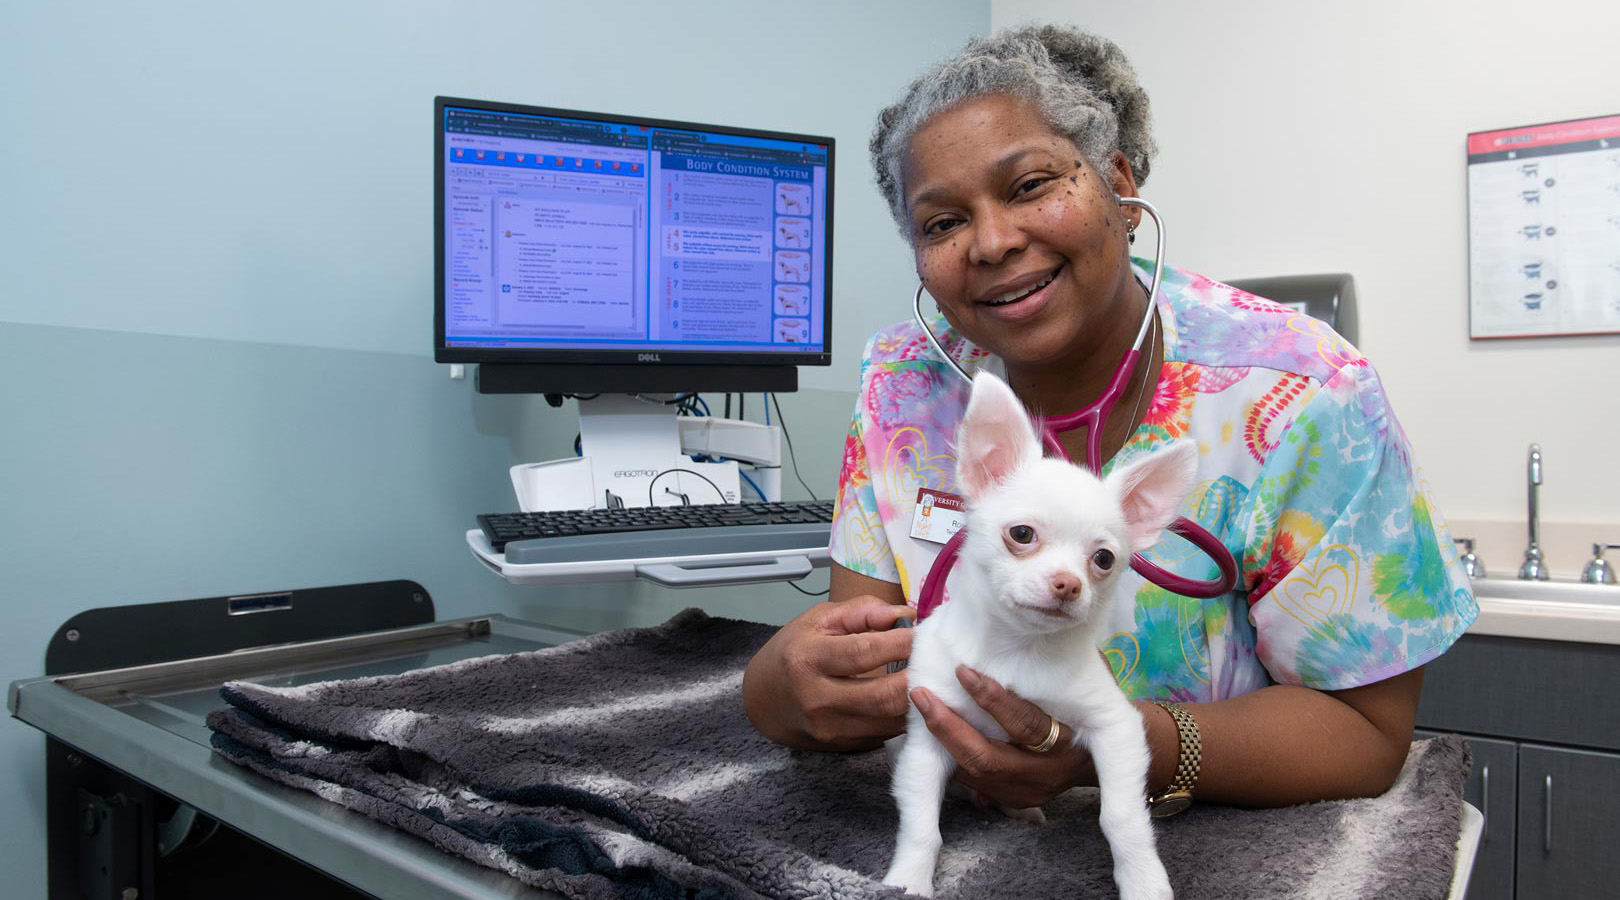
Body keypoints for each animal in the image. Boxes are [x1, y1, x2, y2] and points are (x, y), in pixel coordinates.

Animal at [881, 372, 1198, 900]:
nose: (1067, 584)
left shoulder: (1115, 728)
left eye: (1104, 559)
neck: (1019, 650)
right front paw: (906, 881)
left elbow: (1122, 819)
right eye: (1022, 534)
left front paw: (1145, 882)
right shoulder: (927, 738)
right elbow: (921, 825)